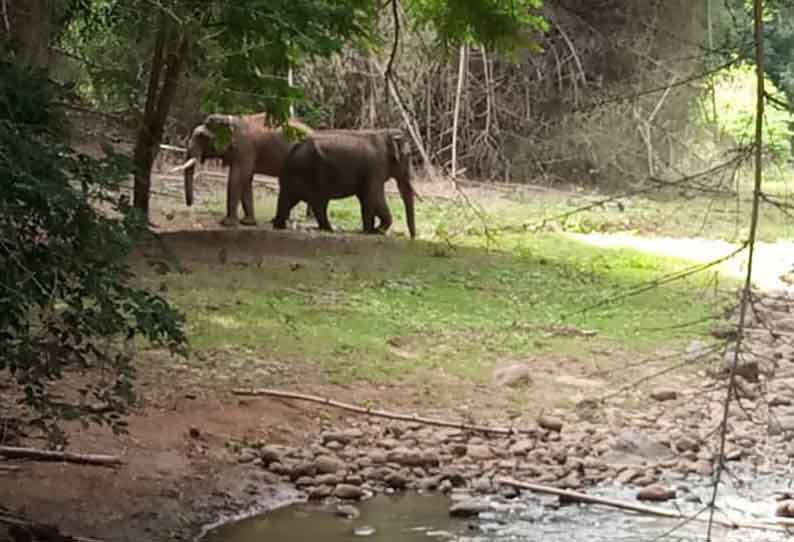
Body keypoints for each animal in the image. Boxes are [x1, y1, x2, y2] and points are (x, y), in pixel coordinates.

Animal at [171, 113, 312, 227]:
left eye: (202, 136)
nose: (190, 205)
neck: (228, 119)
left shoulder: (245, 149)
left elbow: (237, 177)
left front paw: (227, 224)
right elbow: (246, 180)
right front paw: (248, 223)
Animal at [270, 130, 414, 240]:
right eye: (409, 155)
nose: (413, 238)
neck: (387, 134)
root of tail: (294, 149)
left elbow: (366, 198)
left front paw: (369, 230)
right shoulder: (376, 167)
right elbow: (374, 195)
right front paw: (377, 231)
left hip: (295, 174)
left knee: (289, 199)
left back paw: (279, 225)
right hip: (308, 171)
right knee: (318, 203)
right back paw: (329, 230)